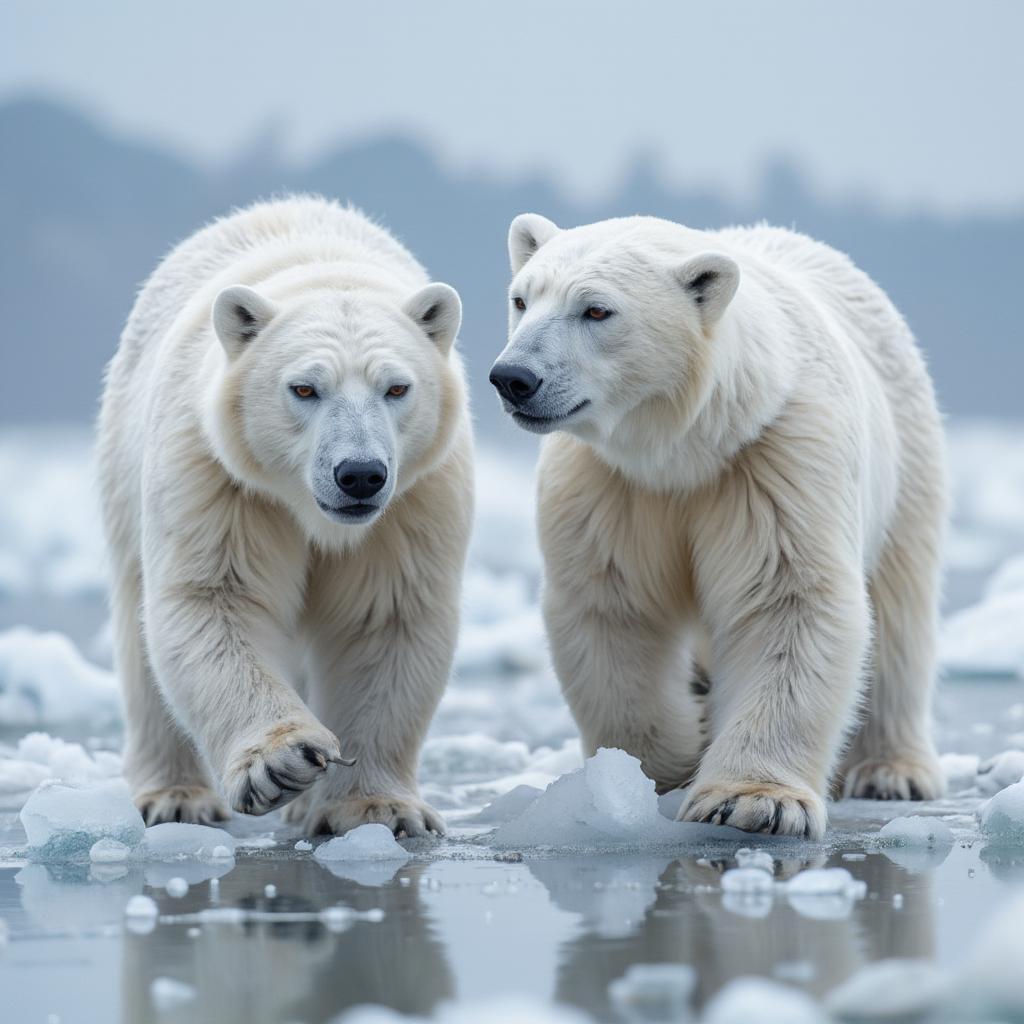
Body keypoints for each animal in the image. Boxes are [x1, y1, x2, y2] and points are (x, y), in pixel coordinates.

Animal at [96, 195, 471, 835]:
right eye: (303, 388)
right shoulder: (224, 478)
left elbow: (385, 615)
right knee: (140, 636)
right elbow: (214, 598)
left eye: (397, 388)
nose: (360, 474)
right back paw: (175, 796)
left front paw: (381, 807)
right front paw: (281, 764)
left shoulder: (412, 502)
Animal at [491, 214, 946, 839]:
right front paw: (654, 775)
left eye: (597, 310)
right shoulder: (610, 486)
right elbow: (613, 608)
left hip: (905, 457)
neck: (686, 450)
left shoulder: (774, 460)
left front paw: (751, 802)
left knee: (900, 612)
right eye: (522, 298)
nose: (512, 377)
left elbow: (788, 600)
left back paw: (891, 772)